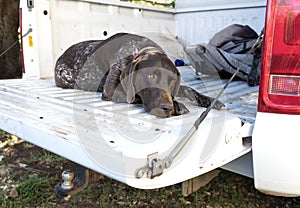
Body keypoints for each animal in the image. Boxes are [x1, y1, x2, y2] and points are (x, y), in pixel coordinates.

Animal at [54, 32, 223, 117]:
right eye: (151, 76)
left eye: (172, 81)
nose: (167, 107)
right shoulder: (111, 90)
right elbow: (136, 96)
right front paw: (177, 104)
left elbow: (188, 89)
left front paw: (209, 100)